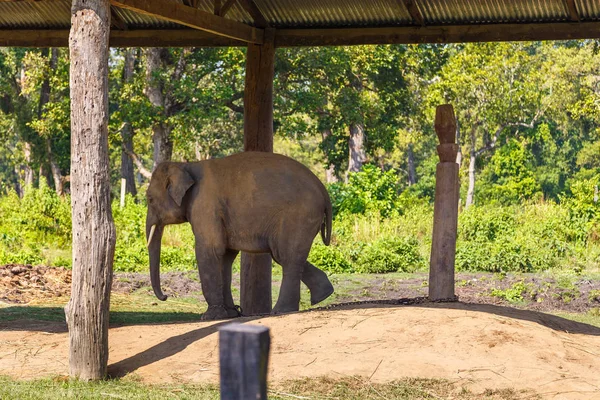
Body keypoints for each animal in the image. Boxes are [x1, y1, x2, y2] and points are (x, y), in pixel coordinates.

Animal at [144, 152, 336, 320]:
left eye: (150, 199)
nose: (166, 296)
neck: (186, 165)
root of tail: (323, 190)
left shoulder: (204, 205)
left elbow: (210, 249)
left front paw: (210, 317)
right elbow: (225, 256)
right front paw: (230, 313)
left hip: (299, 215)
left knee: (287, 256)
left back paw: (281, 311)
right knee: (284, 255)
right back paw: (323, 294)